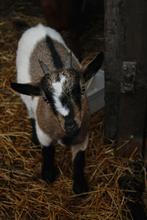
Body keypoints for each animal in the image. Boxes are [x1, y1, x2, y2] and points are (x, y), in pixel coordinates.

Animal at [11, 23, 103, 193]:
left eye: (82, 89)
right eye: (46, 99)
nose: (70, 124)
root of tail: (38, 26)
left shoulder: (83, 137)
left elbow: (79, 160)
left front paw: (79, 187)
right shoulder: (44, 134)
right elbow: (47, 151)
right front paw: (48, 175)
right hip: (26, 98)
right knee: (30, 113)